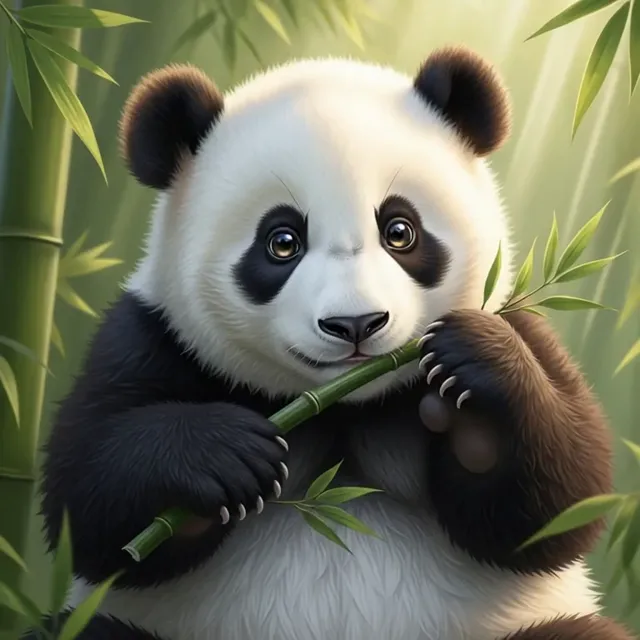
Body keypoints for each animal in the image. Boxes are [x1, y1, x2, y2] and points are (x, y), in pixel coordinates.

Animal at [23, 46, 635, 640]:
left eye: (400, 231)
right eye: (282, 242)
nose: (356, 323)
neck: (343, 407)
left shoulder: (520, 321)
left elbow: (558, 507)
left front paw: (475, 394)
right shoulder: (153, 335)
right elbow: (89, 499)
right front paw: (227, 455)